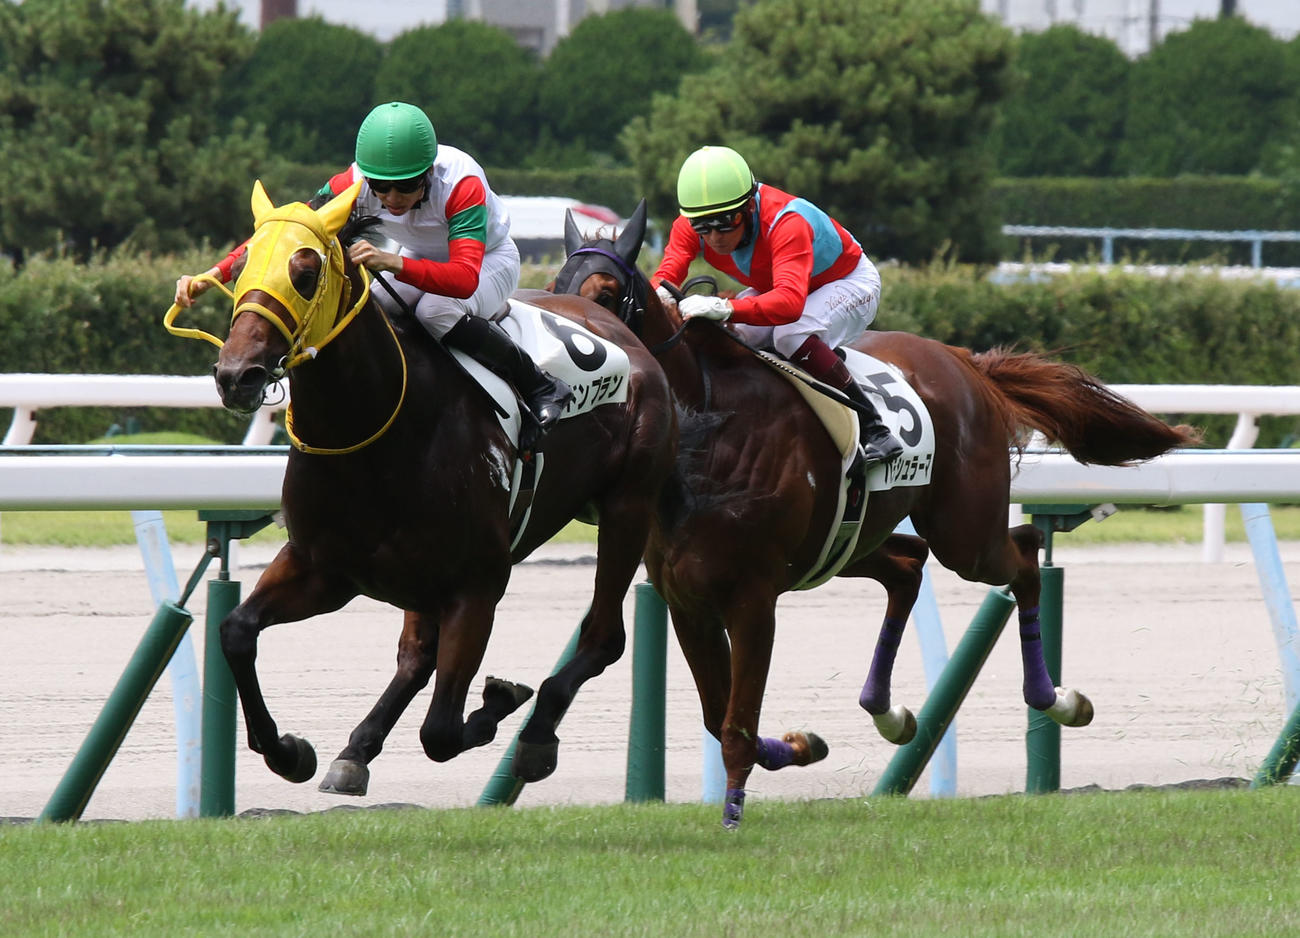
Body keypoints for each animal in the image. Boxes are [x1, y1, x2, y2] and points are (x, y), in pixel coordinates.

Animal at [169, 180, 676, 798]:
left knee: (603, 636)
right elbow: (237, 631)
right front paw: (289, 752)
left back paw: (535, 735)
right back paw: (356, 751)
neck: (374, 430)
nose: (235, 375)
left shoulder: (476, 585)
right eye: (241, 266)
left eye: (306, 272)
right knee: (416, 657)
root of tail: (619, 327)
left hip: (628, 506)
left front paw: (500, 700)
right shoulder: (323, 568)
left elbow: (440, 731)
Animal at [553, 201, 1201, 828]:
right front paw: (800, 744)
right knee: (910, 564)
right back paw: (889, 713)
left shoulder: (753, 598)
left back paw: (1057, 699)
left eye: (607, 294)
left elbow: (735, 728)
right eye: (557, 286)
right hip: (849, 544)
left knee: (1020, 552)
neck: (710, 430)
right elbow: (721, 720)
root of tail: (966, 362)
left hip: (965, 534)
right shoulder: (688, 599)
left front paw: (733, 819)